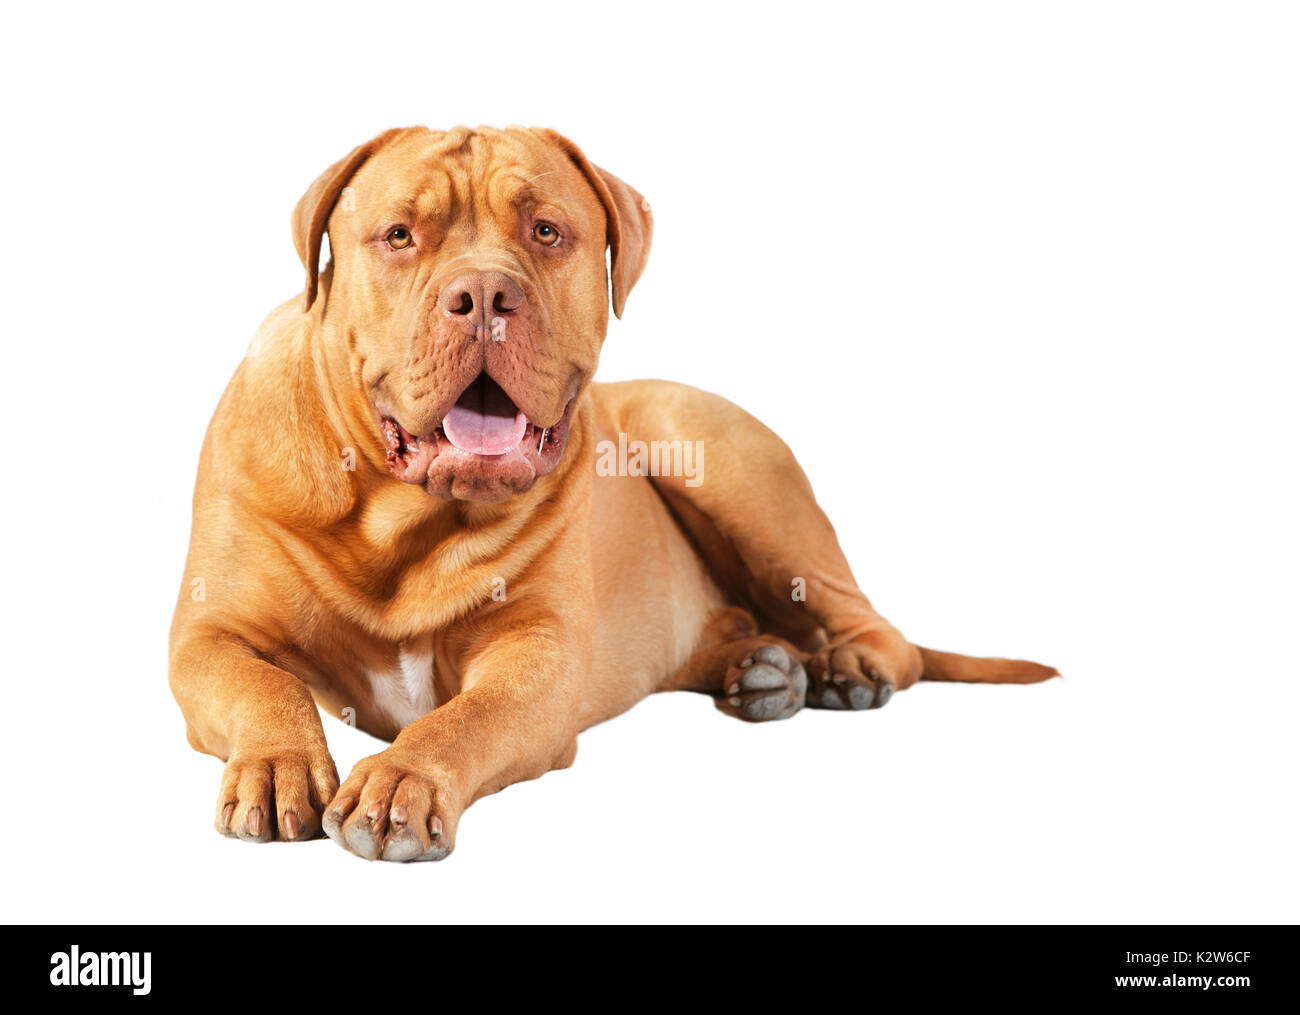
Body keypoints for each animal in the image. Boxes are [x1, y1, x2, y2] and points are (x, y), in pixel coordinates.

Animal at [170, 122, 1055, 857]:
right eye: (398, 235)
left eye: (546, 230)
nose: (483, 294)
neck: (403, 519)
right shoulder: (208, 635)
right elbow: (265, 683)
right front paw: (278, 761)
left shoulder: (540, 655)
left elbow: (465, 717)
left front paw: (403, 779)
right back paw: (764, 667)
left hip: (707, 447)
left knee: (880, 629)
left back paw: (846, 668)